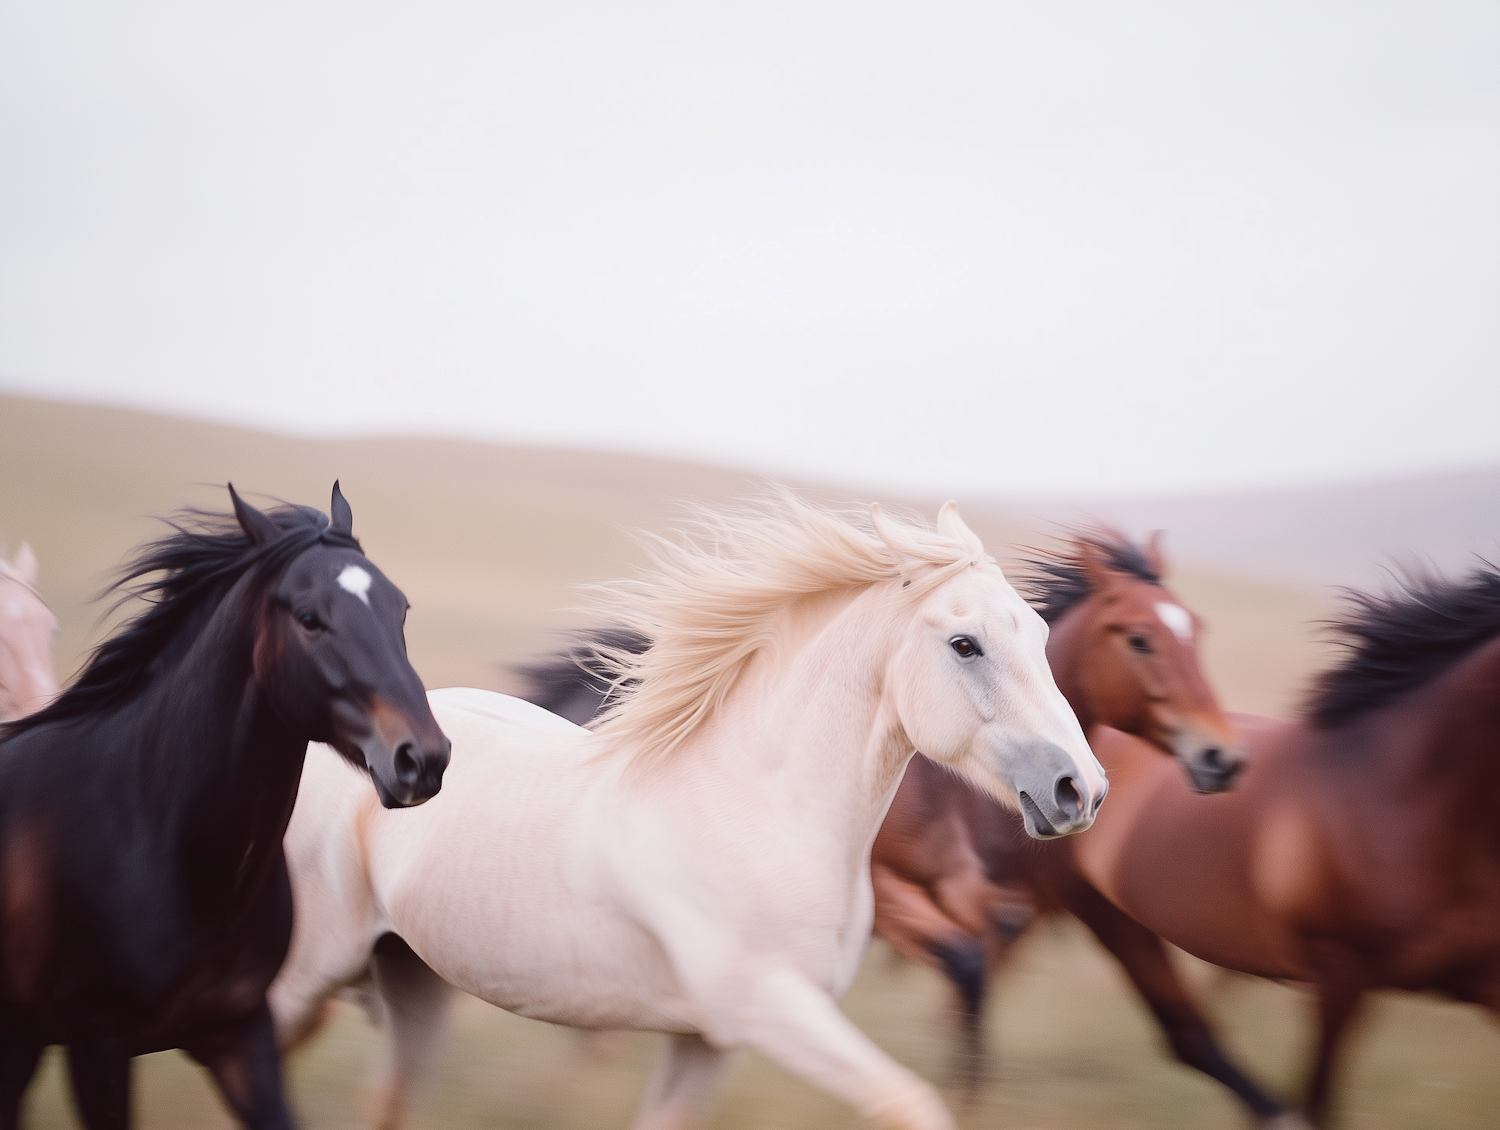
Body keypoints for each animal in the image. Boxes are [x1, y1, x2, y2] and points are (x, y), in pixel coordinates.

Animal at [273, 498, 1116, 1128]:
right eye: (965, 644)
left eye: (1042, 634)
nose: (1081, 790)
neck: (759, 809)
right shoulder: (771, 1010)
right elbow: (909, 1103)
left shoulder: (707, 1040)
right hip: (307, 971)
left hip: (412, 979)